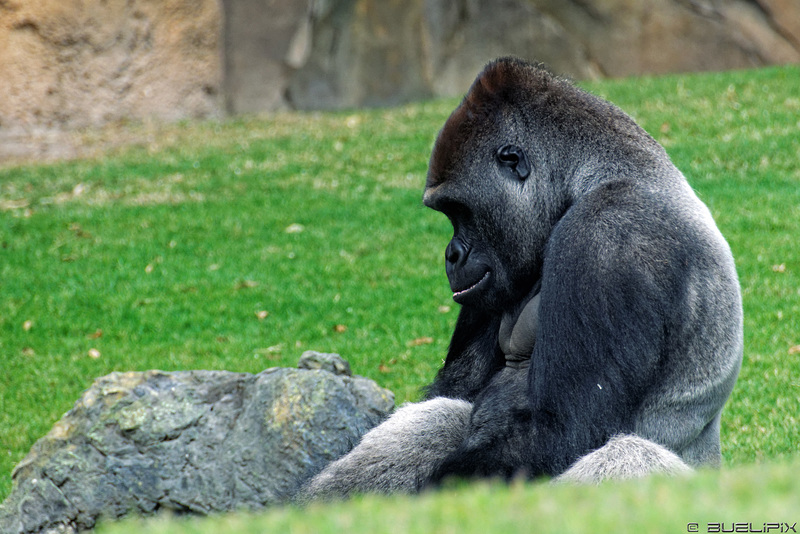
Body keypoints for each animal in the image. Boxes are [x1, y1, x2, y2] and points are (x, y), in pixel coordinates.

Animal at [300, 56, 744, 500]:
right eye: (447, 211)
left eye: (459, 209)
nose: (452, 255)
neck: (597, 175)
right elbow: (455, 393)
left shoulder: (609, 234)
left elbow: (561, 434)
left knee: (629, 456)